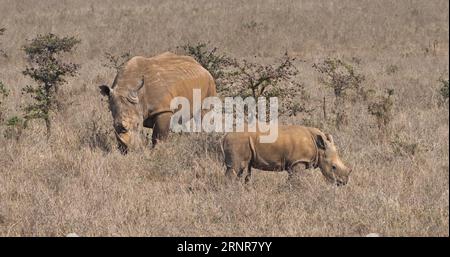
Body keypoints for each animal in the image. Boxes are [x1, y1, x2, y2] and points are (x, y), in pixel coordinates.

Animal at [223, 125, 354, 185]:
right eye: (333, 167)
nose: (343, 182)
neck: (320, 148)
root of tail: (224, 136)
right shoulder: (299, 161)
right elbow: (296, 180)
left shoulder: (294, 163)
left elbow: (291, 179)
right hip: (238, 141)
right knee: (236, 168)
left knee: (240, 169)